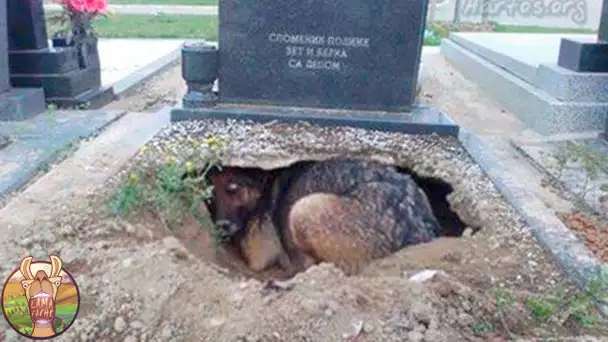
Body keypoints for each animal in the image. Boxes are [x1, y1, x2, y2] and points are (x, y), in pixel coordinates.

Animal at [207, 158, 448, 276]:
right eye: (210, 195)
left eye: (233, 189)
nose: (221, 226)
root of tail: (413, 228)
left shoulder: (258, 255)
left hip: (304, 209)